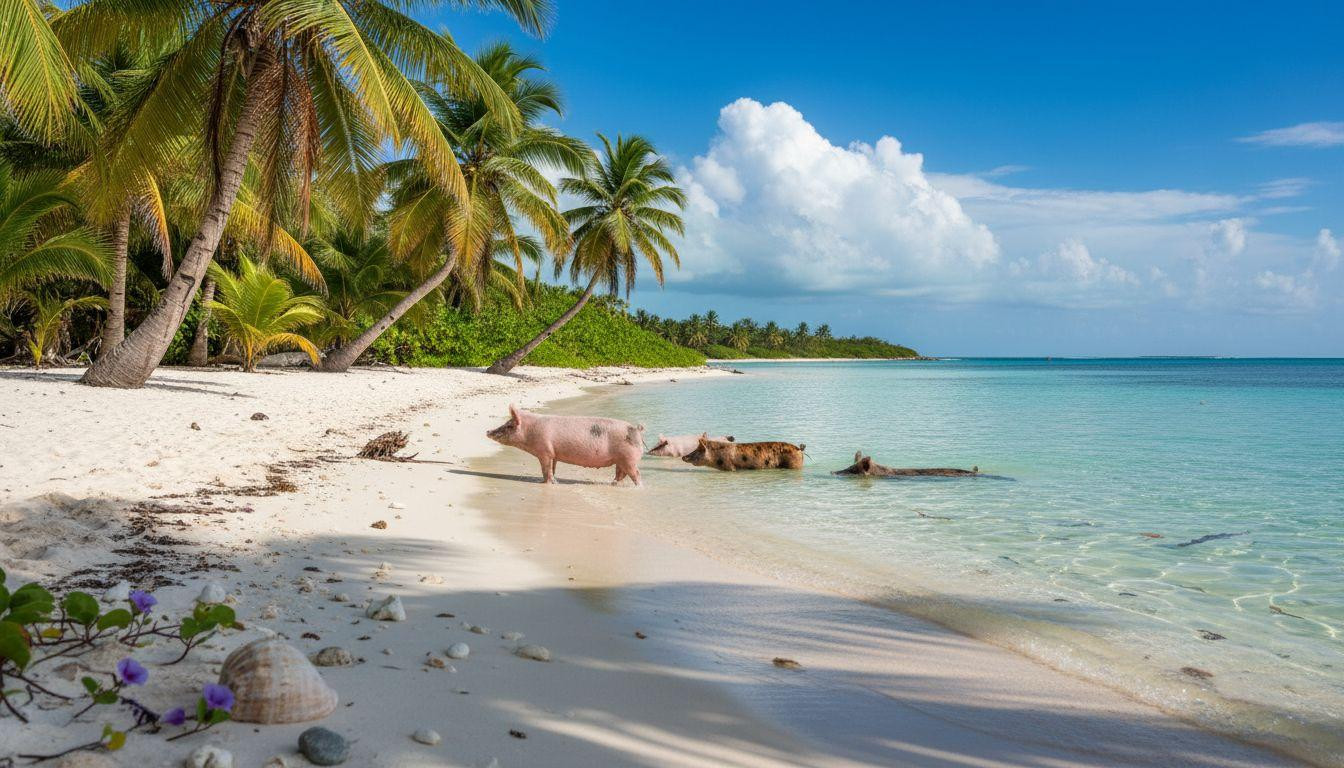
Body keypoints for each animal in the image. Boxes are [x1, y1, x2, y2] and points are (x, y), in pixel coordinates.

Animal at [486, 404, 645, 485]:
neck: (530, 431)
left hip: (629, 458)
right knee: (621, 474)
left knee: (636, 474)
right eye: (506, 423)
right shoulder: (553, 454)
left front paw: (547, 482)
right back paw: (614, 484)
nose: (487, 431)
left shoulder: (544, 451)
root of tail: (637, 429)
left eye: (509, 426)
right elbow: (552, 468)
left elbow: (546, 469)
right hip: (621, 460)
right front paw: (551, 481)